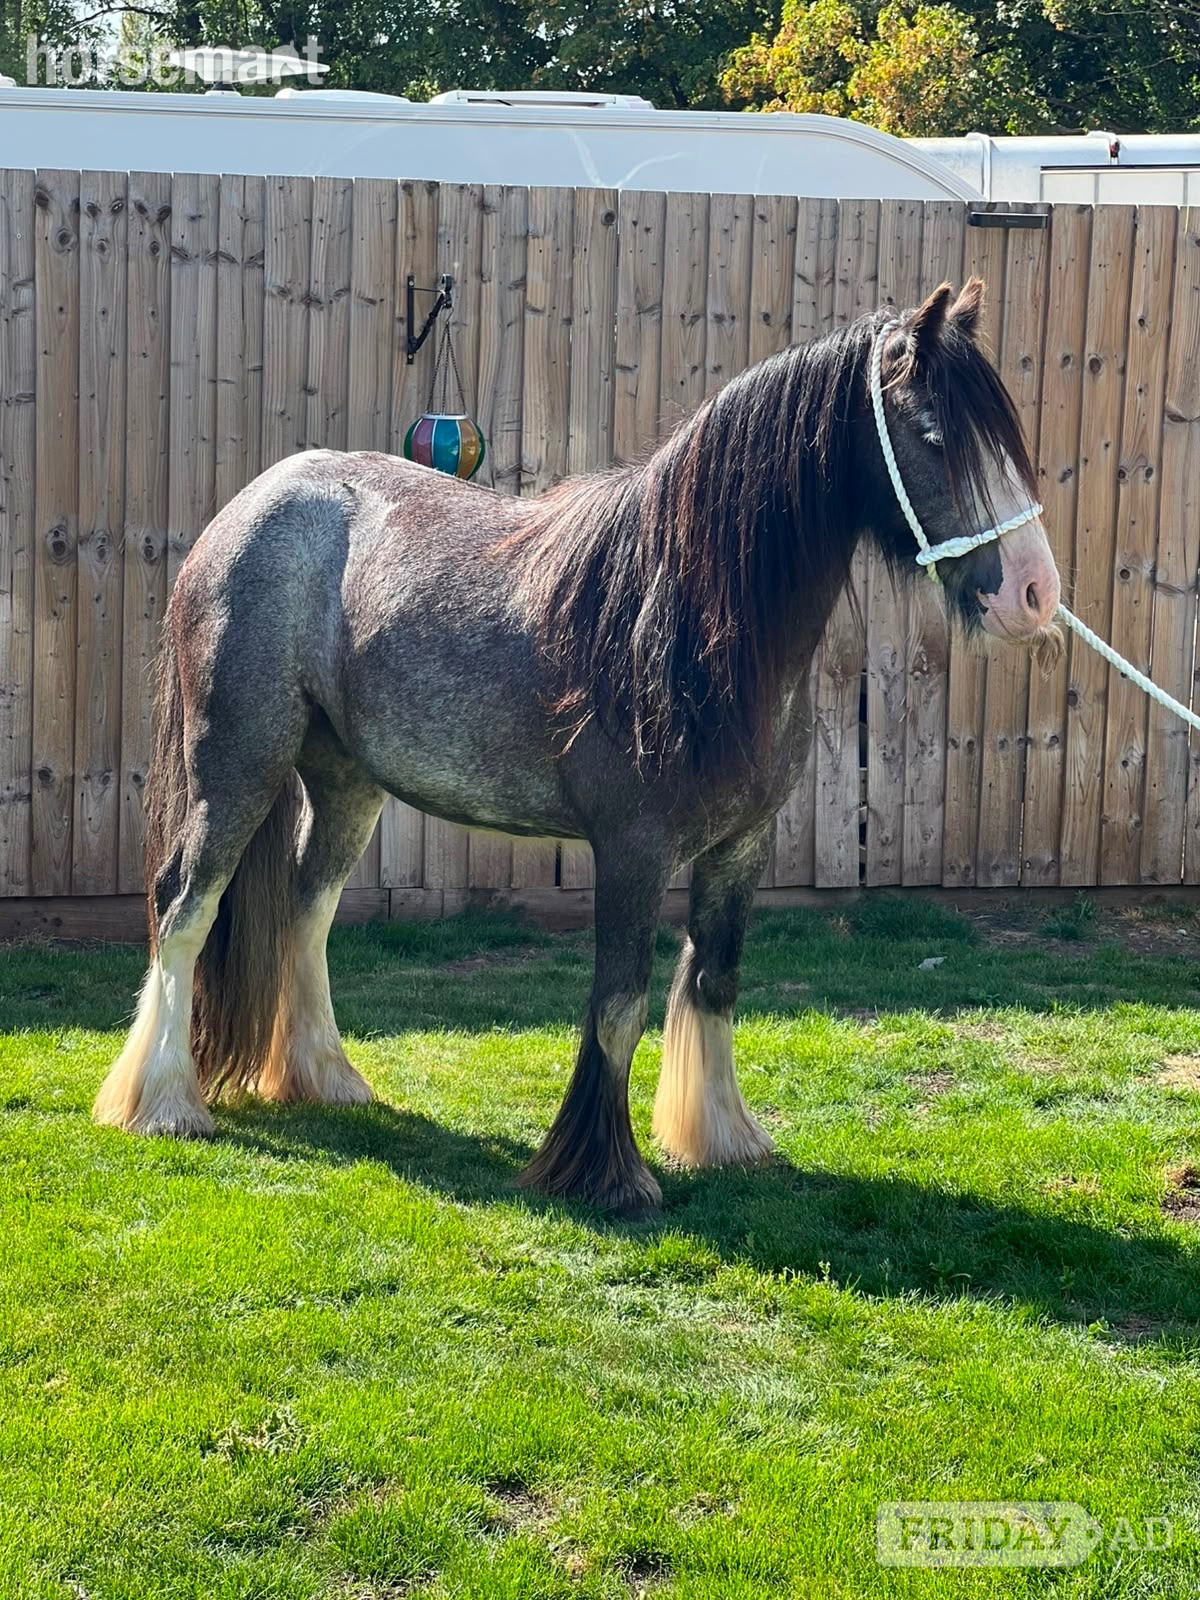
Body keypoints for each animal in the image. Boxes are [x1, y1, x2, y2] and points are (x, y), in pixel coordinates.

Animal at [94, 277, 1060, 1214]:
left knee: (305, 909)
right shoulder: (633, 850)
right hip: (236, 765)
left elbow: (715, 982)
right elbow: (619, 1006)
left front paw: (724, 1139)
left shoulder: (740, 848)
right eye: (933, 436)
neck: (685, 617)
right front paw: (604, 1173)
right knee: (184, 907)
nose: (1035, 594)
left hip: (344, 783)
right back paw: (164, 1104)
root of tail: (252, 505)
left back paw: (324, 1079)